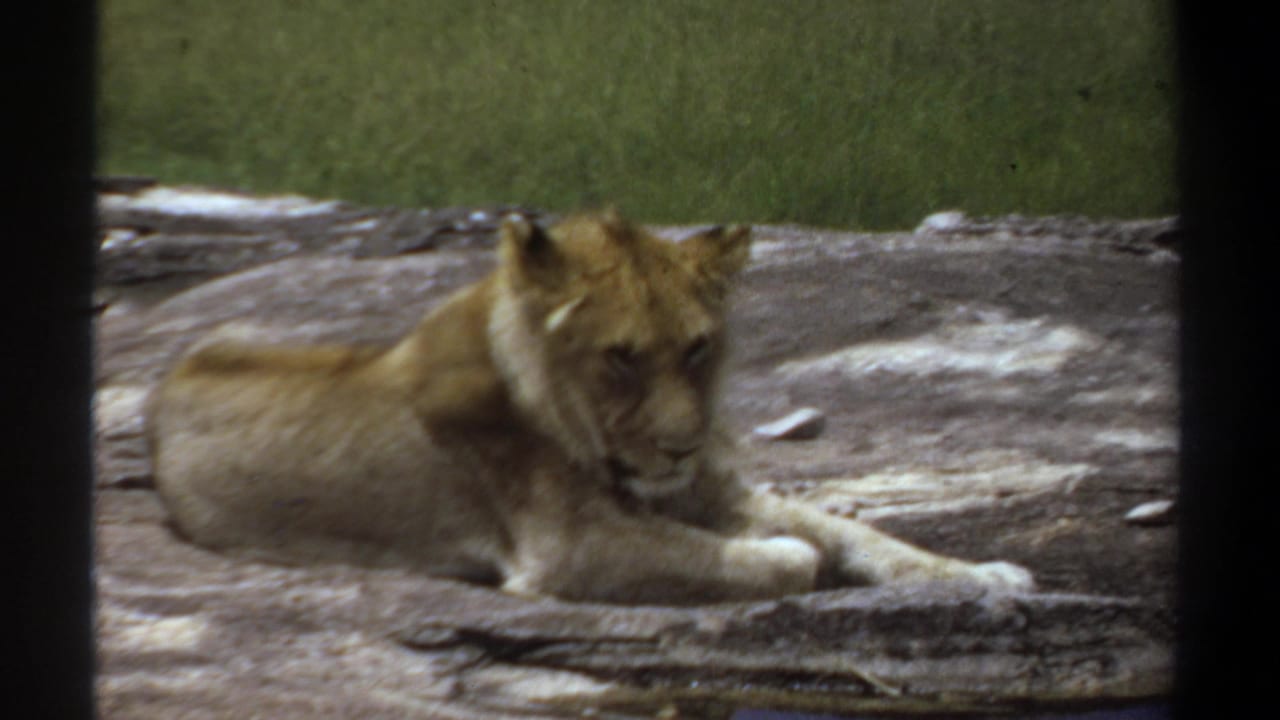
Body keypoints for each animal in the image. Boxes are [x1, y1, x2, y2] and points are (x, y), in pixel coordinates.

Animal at [149, 210, 1033, 604]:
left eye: (697, 348)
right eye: (621, 356)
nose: (682, 448)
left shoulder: (707, 490)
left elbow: (859, 533)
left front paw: (987, 574)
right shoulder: (567, 548)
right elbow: (772, 554)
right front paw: (785, 555)